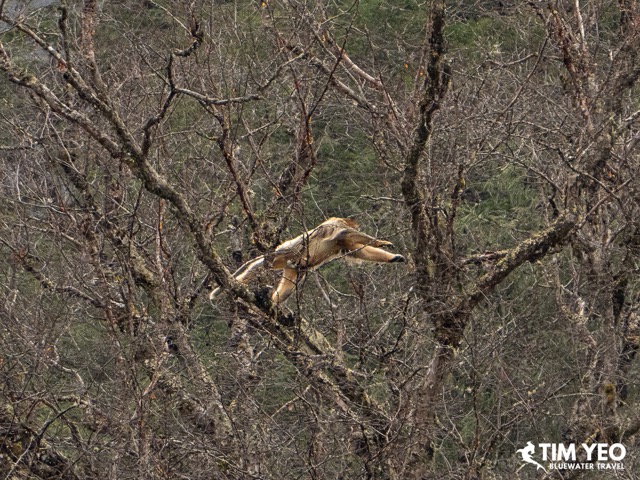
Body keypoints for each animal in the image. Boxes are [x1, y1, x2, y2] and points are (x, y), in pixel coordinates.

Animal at [210, 217, 406, 304]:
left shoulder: (342, 243)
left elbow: (359, 251)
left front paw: (395, 258)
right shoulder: (336, 226)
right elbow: (347, 234)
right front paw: (382, 242)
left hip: (293, 267)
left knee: (286, 288)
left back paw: (273, 301)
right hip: (286, 253)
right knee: (261, 266)